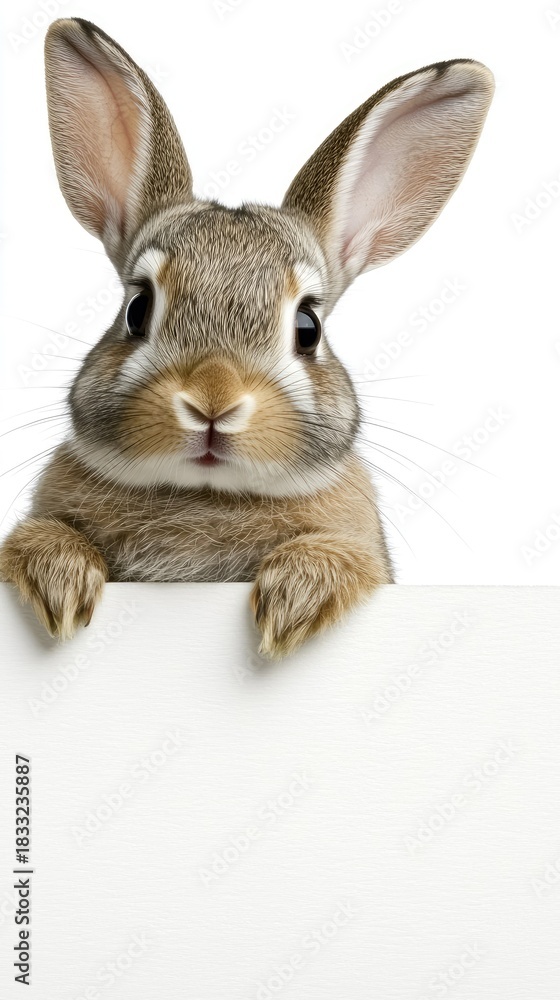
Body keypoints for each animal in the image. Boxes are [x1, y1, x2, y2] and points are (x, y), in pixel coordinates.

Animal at [0, 18, 494, 658]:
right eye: (137, 309)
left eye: (308, 328)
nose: (214, 401)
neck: (205, 495)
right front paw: (57, 577)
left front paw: (296, 598)